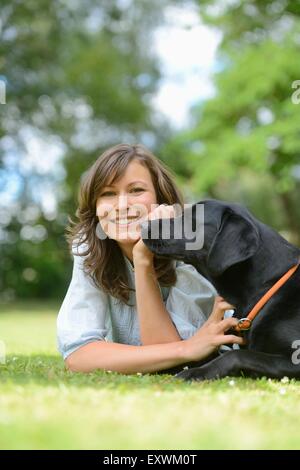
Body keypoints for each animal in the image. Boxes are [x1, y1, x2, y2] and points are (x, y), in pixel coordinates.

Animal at [142, 200, 300, 380]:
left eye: (190, 218)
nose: (143, 225)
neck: (265, 286)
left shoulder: (294, 358)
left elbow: (235, 355)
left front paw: (195, 373)